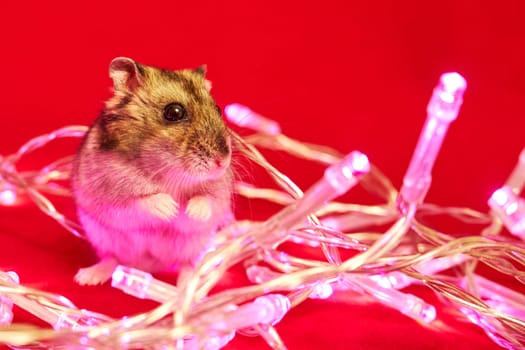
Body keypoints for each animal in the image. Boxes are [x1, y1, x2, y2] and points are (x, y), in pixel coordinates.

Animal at [72, 55, 233, 284]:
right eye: (174, 112)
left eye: (218, 109)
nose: (222, 161)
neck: (167, 171)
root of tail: (147, 267)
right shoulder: (108, 193)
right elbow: (139, 201)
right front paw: (171, 208)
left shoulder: (220, 192)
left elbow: (207, 201)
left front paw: (189, 211)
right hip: (102, 238)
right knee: (112, 259)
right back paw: (86, 277)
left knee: (187, 265)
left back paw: (187, 288)